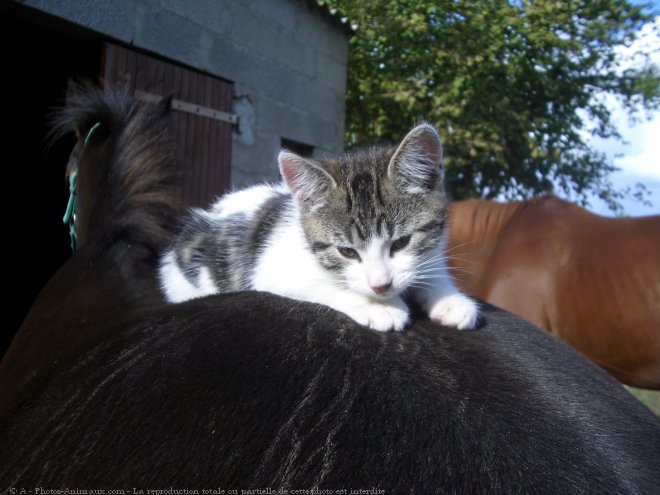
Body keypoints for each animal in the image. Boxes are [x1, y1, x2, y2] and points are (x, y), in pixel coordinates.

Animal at [160, 124, 480, 334]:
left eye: (401, 243)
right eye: (347, 252)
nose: (380, 287)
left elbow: (429, 266)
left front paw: (450, 300)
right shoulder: (268, 272)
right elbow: (324, 285)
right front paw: (378, 306)